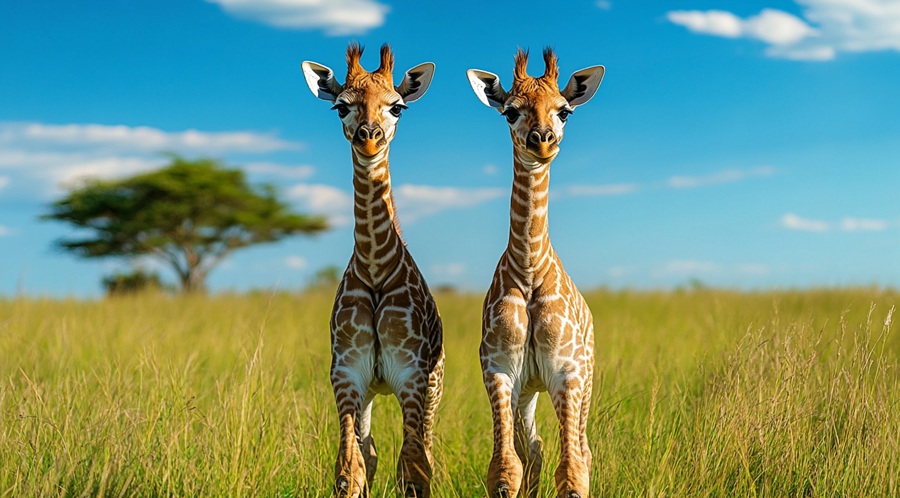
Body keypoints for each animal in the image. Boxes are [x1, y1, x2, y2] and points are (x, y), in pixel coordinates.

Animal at [301, 43, 444, 498]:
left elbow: (414, 471)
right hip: (369, 392)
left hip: (434, 387)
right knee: (371, 450)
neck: (377, 265)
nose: (369, 137)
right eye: (341, 106)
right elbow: (350, 468)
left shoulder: (413, 377)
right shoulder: (346, 375)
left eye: (397, 107)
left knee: (423, 449)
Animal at [466, 49, 605, 498]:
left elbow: (573, 473)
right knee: (535, 449)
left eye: (564, 111)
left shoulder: (566, 371)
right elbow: (504, 469)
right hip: (528, 390)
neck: (528, 269)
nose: (542, 140)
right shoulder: (499, 371)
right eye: (510, 111)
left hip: (585, 378)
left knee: (582, 451)